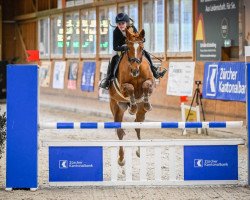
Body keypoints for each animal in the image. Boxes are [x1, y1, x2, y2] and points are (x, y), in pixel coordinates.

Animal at [109, 27, 154, 166]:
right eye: (128, 48)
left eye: (141, 47)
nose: (135, 70)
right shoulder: (123, 88)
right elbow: (130, 88)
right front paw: (132, 108)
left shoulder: (150, 82)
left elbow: (146, 85)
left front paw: (147, 103)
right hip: (117, 107)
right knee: (119, 131)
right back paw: (121, 159)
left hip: (141, 112)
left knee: (137, 125)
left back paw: (139, 151)